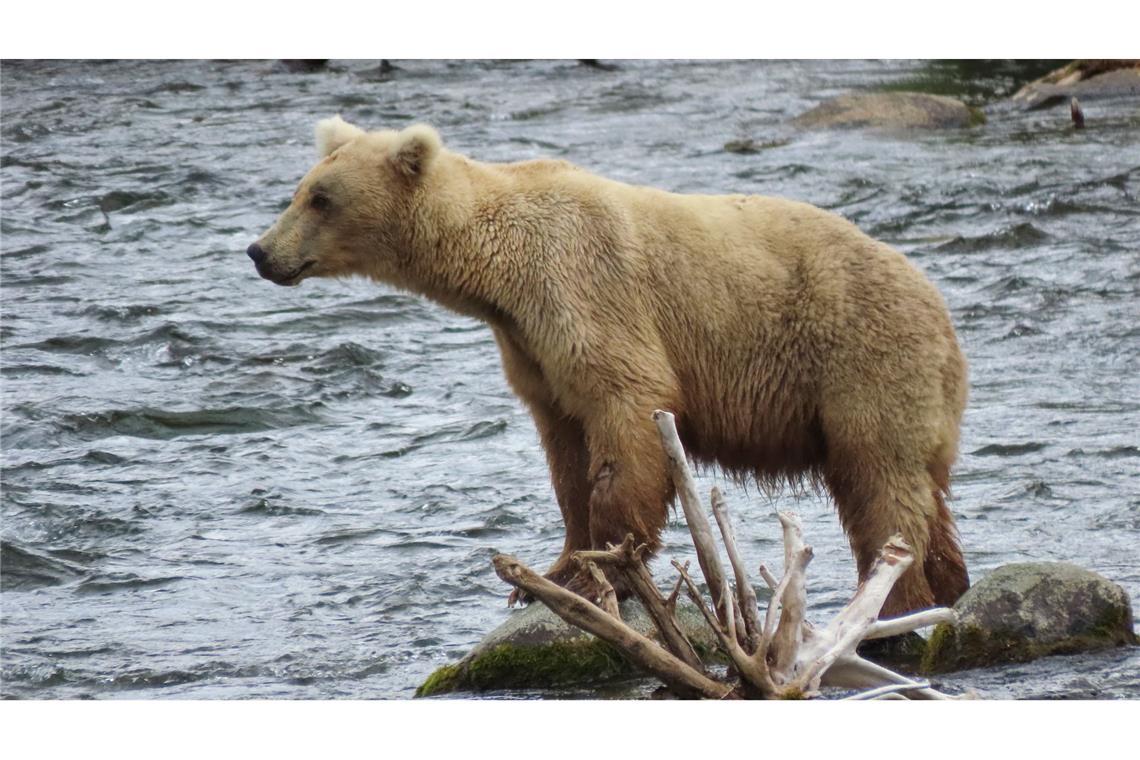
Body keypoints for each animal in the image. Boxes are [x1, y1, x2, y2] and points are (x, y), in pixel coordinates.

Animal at [249, 117, 971, 619]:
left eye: (321, 198)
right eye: (299, 190)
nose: (260, 251)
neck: (497, 273)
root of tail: (942, 313)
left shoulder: (583, 291)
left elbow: (625, 414)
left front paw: (606, 568)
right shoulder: (529, 348)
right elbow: (565, 452)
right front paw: (551, 572)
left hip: (863, 362)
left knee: (880, 484)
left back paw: (897, 598)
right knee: (921, 492)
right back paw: (948, 582)